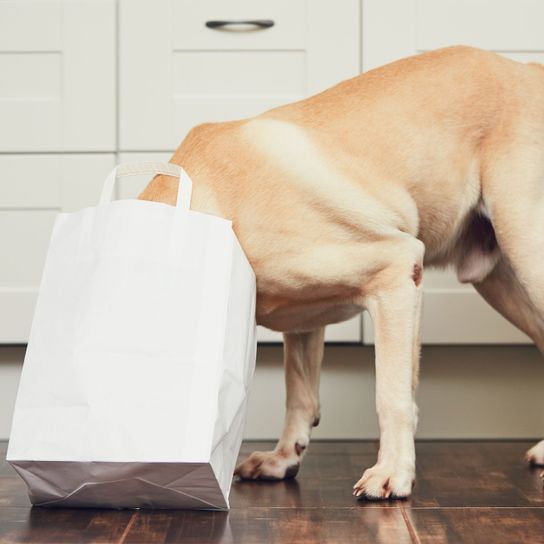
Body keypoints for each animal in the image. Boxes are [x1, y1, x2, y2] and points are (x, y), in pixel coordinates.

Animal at [140, 44, 544, 500]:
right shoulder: (301, 320)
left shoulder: (397, 271)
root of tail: (529, 70)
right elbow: (300, 394)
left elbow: (392, 395)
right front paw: (283, 459)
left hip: (527, 247)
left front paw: (392, 473)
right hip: (502, 283)